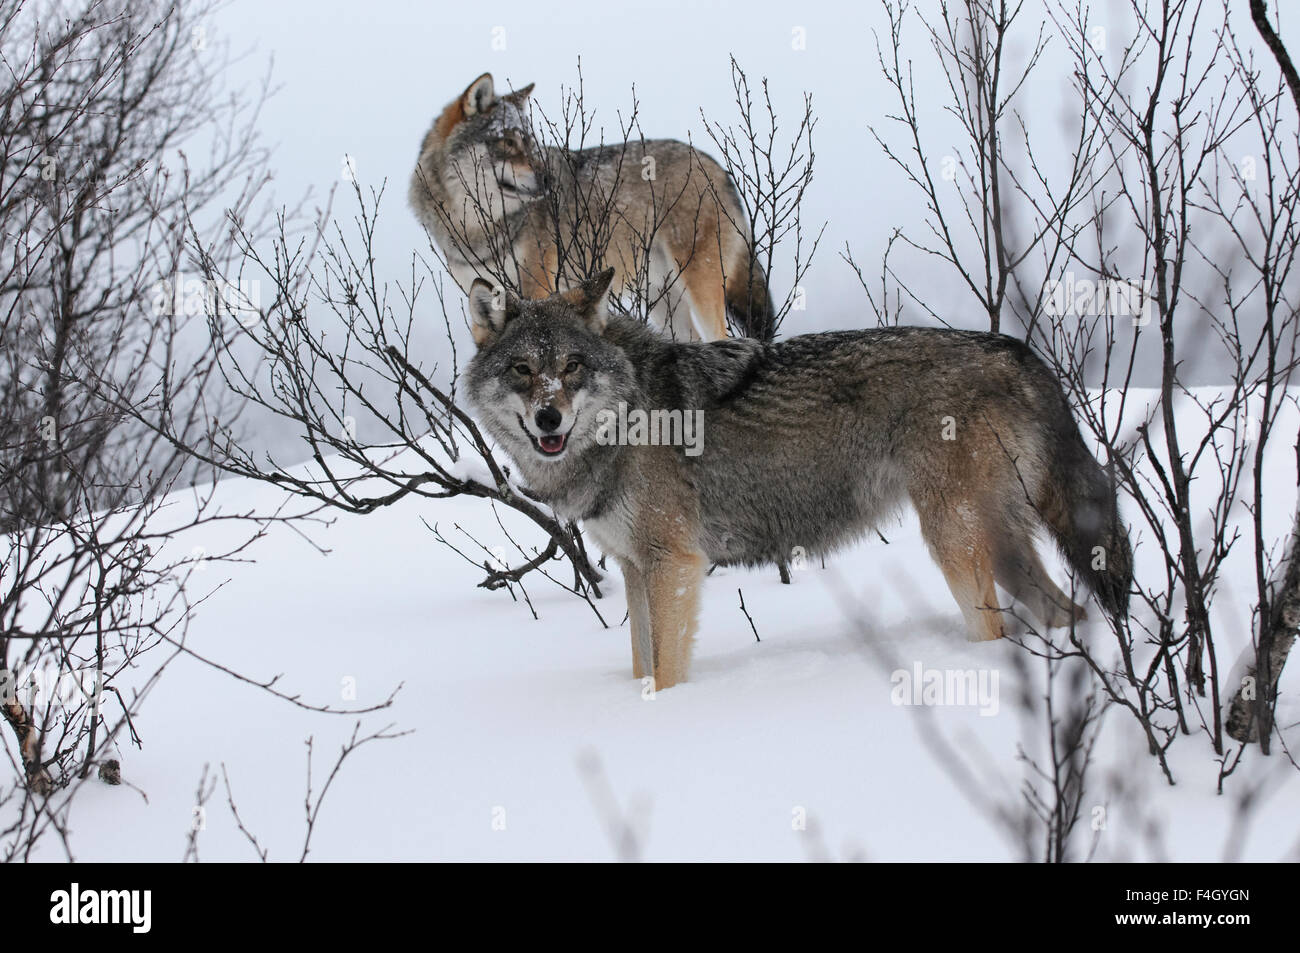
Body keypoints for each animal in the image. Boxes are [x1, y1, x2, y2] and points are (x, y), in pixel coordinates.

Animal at [408, 73, 769, 343]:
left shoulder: (538, 286)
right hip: (663, 301)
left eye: (530, 142)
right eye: (508, 142)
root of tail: (716, 165)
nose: (549, 179)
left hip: (700, 289)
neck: (474, 226)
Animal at [462, 267, 1133, 691]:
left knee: (996, 632)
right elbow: (640, 664)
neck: (626, 415)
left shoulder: (672, 564)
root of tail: (1018, 350)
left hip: (956, 543)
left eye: (572, 366)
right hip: (1004, 551)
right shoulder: (632, 567)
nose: (549, 418)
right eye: (523, 370)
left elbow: (667, 671)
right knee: (1069, 611)